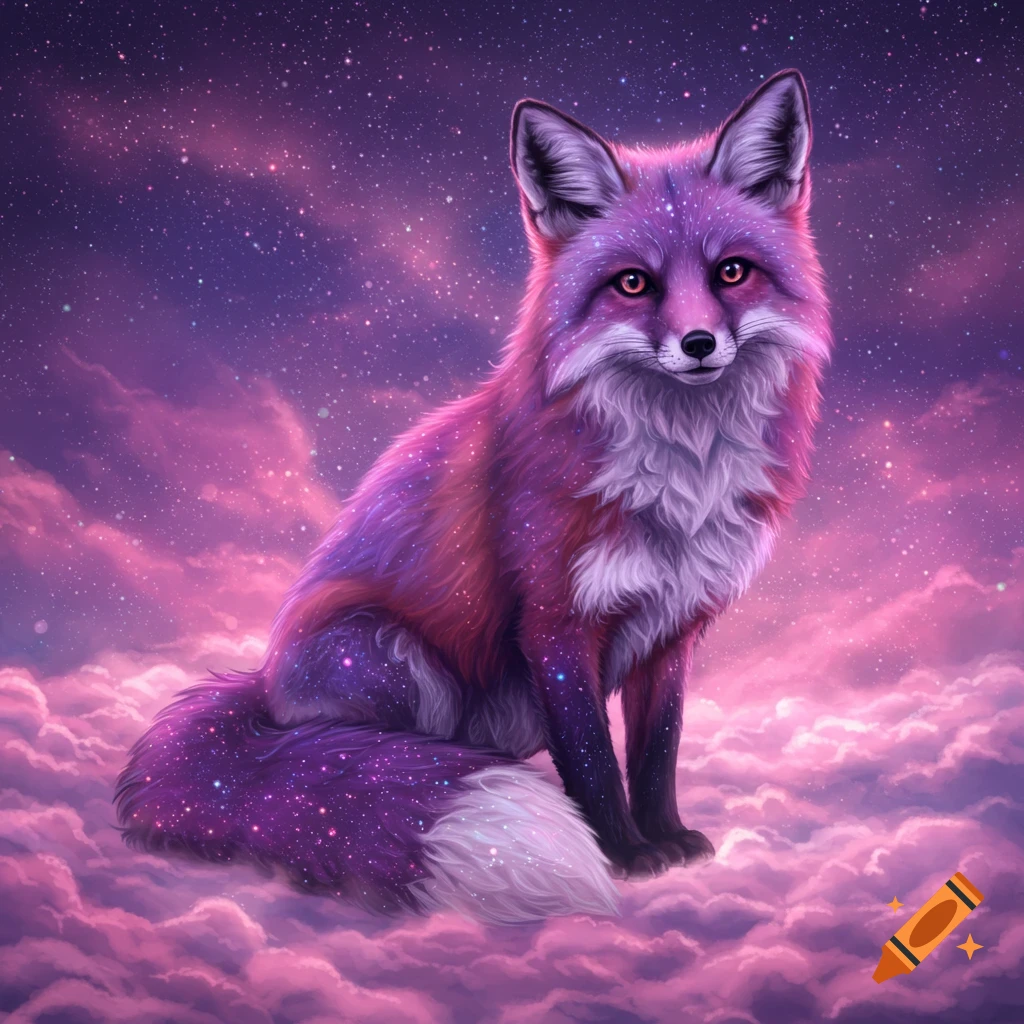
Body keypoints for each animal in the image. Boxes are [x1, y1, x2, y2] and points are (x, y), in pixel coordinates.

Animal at [116, 70, 831, 924]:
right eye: (633, 283)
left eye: (731, 272)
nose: (698, 345)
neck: (682, 475)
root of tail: (264, 691)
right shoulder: (555, 621)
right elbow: (594, 759)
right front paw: (626, 856)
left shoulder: (671, 629)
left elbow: (657, 753)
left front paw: (668, 838)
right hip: (388, 654)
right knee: (342, 773)